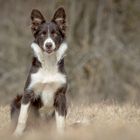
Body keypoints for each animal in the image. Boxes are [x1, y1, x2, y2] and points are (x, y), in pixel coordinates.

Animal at [10, 7, 68, 136]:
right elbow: (22, 118)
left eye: (55, 34)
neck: (48, 63)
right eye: (42, 34)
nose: (48, 45)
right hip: (17, 100)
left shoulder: (61, 96)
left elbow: (60, 122)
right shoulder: (28, 93)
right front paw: (17, 134)